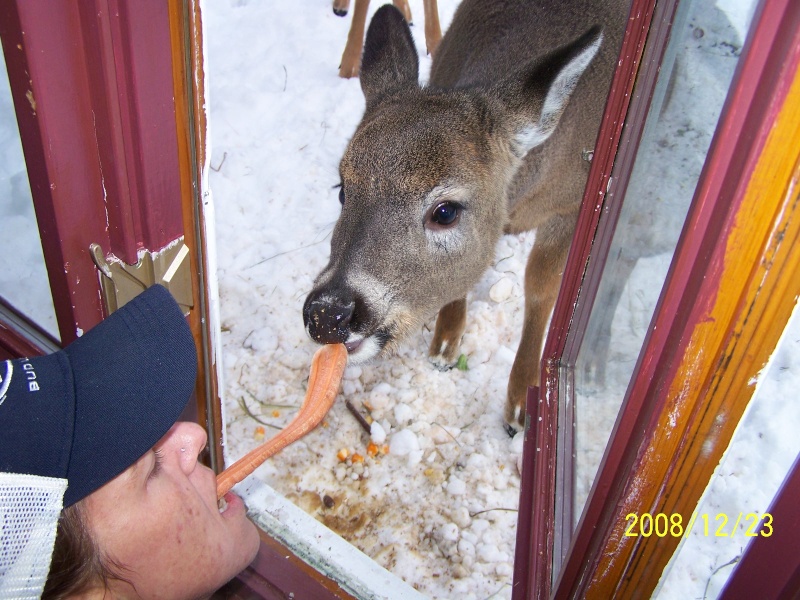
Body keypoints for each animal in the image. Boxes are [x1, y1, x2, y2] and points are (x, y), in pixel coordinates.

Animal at [306, 0, 632, 434]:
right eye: (343, 189)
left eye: (445, 211)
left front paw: (520, 403)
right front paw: (446, 342)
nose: (328, 313)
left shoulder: (574, 203)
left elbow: (541, 286)